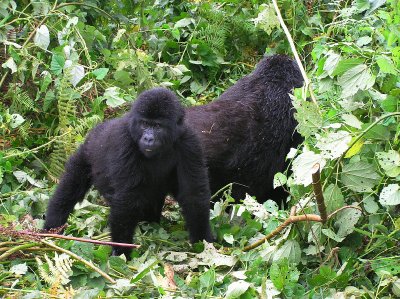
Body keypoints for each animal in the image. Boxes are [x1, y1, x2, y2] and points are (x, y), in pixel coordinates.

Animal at [43, 86, 212, 258]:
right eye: (144, 124)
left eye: (157, 126)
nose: (148, 138)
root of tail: (97, 129)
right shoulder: (123, 142)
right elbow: (127, 200)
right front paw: (121, 251)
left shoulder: (190, 142)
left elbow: (193, 193)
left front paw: (203, 241)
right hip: (86, 151)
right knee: (71, 187)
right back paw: (52, 227)